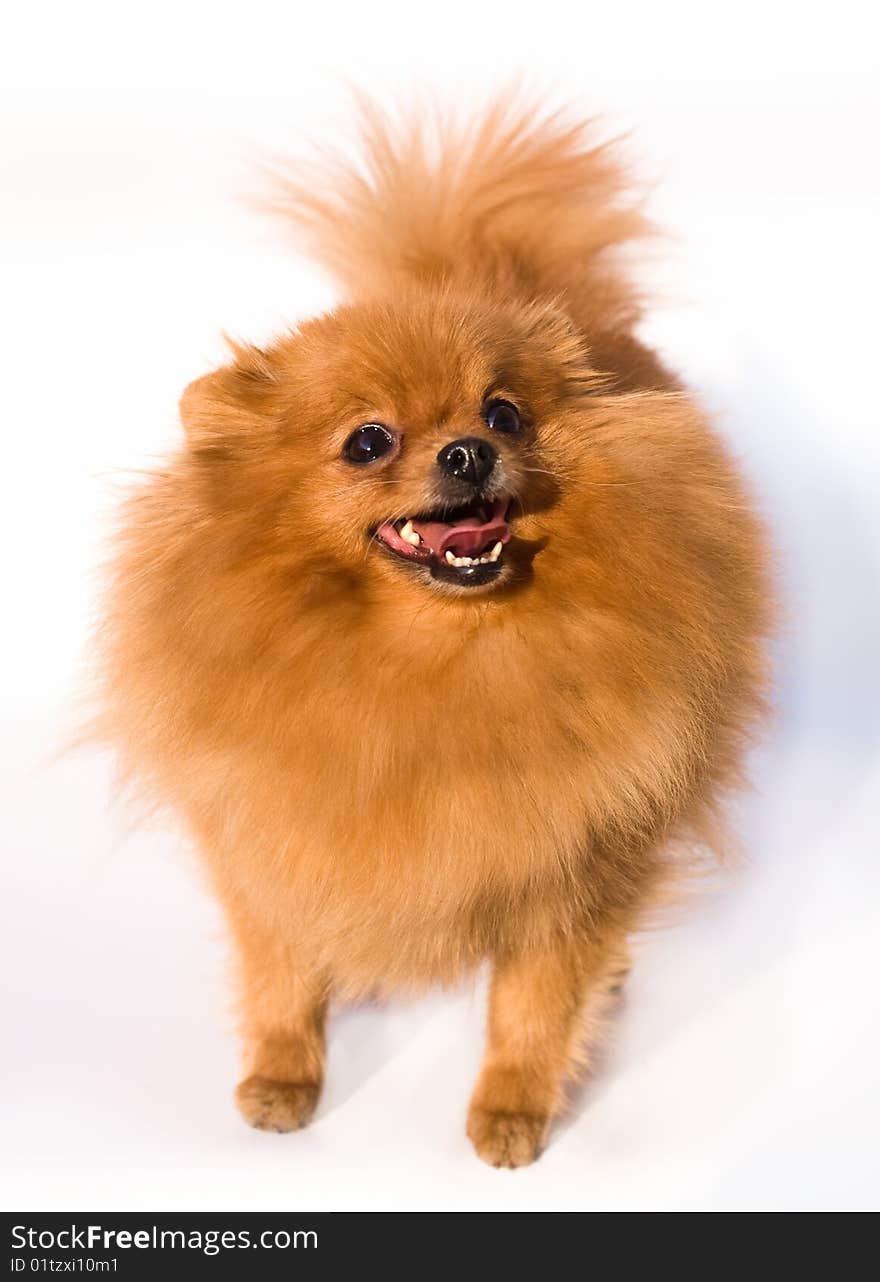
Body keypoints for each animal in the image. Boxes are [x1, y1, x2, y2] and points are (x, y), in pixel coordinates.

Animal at [98, 94, 769, 1169]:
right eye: (368, 441)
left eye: (505, 413)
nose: (467, 450)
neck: (429, 664)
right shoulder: (266, 837)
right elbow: (280, 973)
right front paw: (282, 1076)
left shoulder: (576, 861)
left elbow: (535, 1004)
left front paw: (513, 1109)